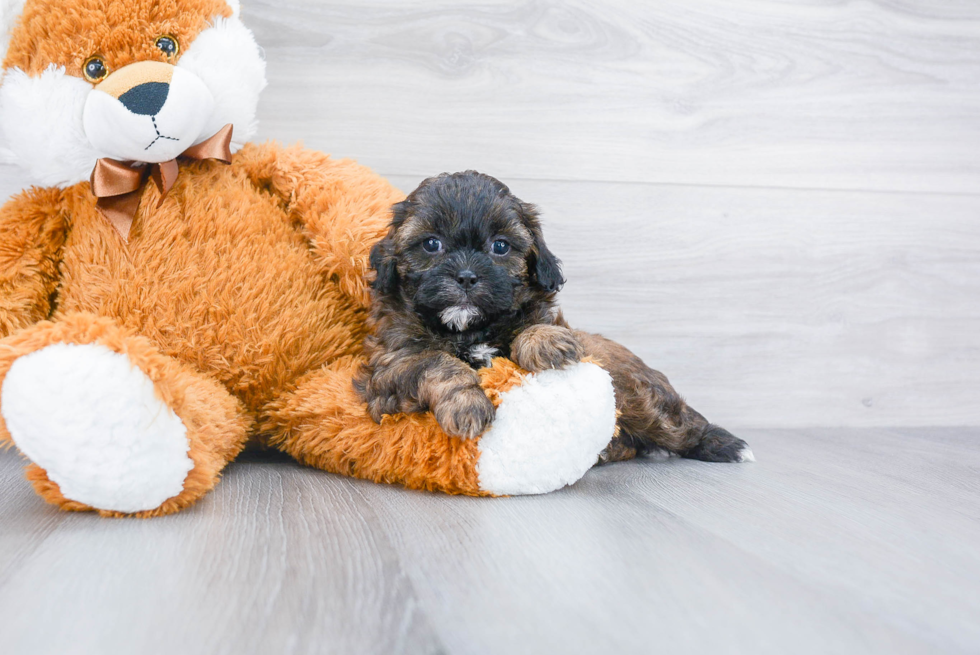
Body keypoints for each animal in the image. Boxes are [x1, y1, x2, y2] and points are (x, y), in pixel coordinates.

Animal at [356, 172, 756, 464]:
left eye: (500, 246)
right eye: (431, 244)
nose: (467, 277)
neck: (469, 329)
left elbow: (538, 324)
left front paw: (545, 343)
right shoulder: (388, 370)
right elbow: (436, 362)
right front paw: (468, 405)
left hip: (639, 396)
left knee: (676, 424)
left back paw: (721, 444)